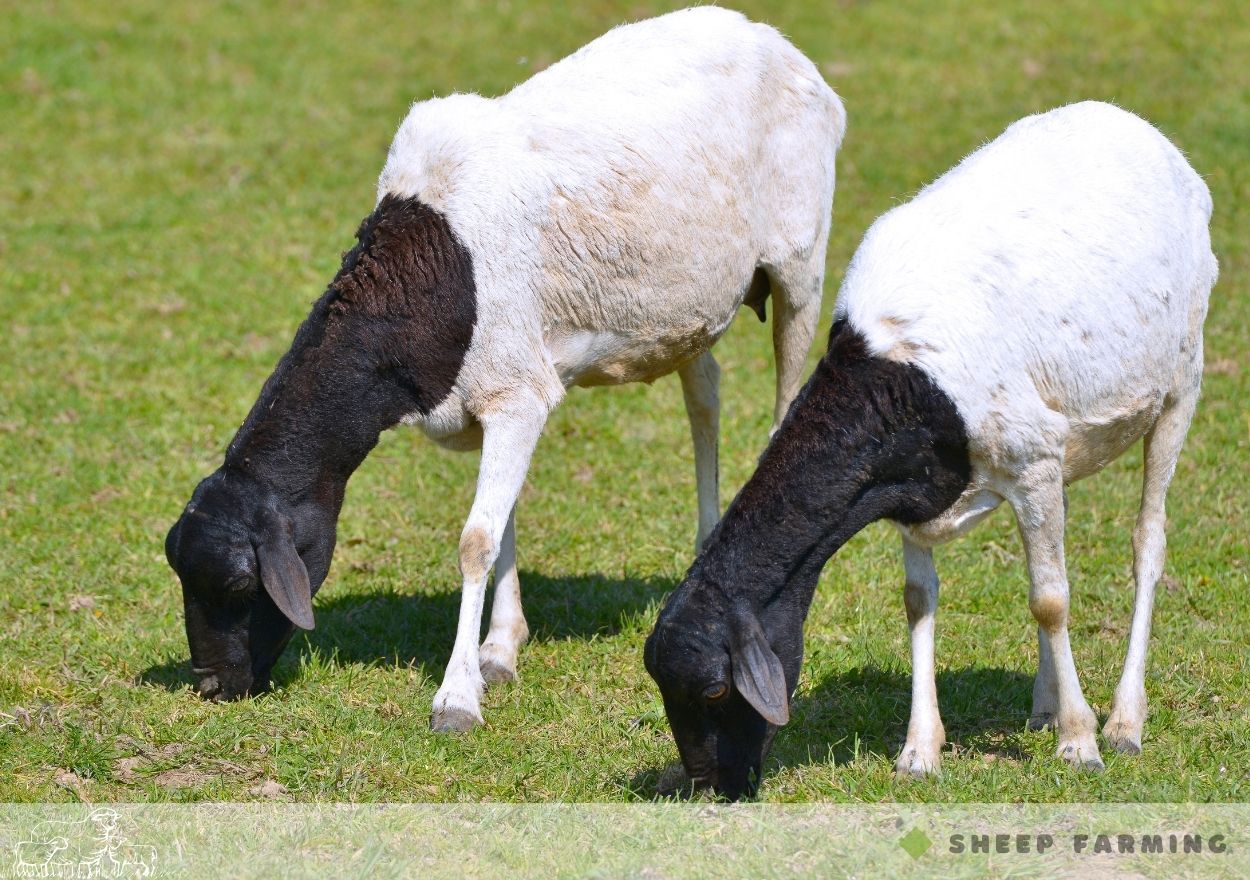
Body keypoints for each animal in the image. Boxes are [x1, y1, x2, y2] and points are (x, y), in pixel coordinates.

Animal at [161, 5, 845, 735]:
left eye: (240, 583)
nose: (212, 684)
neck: (429, 272)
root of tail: (771, 39)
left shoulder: (517, 394)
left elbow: (476, 539)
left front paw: (457, 696)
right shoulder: (507, 395)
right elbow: (503, 519)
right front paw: (499, 650)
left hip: (800, 262)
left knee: (781, 406)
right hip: (688, 307)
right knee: (705, 394)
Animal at [650, 100, 1215, 800]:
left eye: (715, 689)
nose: (709, 786)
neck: (894, 373)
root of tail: (1133, 124)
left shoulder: (1030, 462)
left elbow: (1051, 600)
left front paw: (1081, 741)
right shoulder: (911, 488)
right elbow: (921, 601)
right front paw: (920, 750)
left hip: (1181, 380)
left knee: (1147, 543)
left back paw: (1124, 721)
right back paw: (1045, 703)